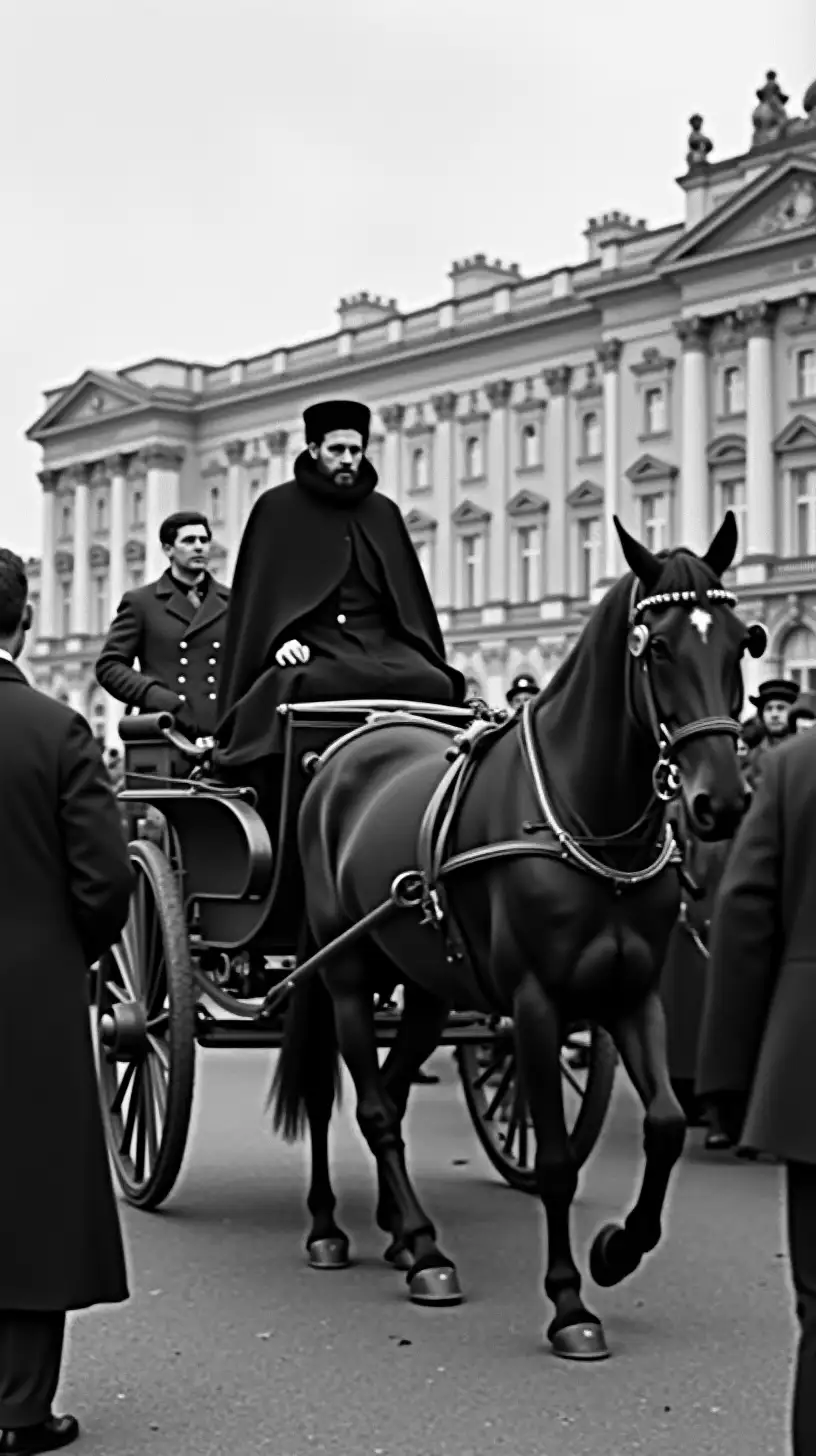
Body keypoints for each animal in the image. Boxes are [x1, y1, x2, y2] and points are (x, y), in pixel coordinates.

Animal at [268, 512, 763, 1351]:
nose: (720, 804)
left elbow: (665, 1124)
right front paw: (570, 1305)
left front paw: (617, 1249)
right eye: (659, 647)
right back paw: (369, 1237)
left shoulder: (634, 994)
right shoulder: (534, 1005)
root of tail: (343, 748)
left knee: (387, 1094)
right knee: (363, 1104)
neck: (588, 819)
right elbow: (558, 1161)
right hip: (345, 973)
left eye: (739, 642)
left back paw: (398, 1231)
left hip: (426, 984)